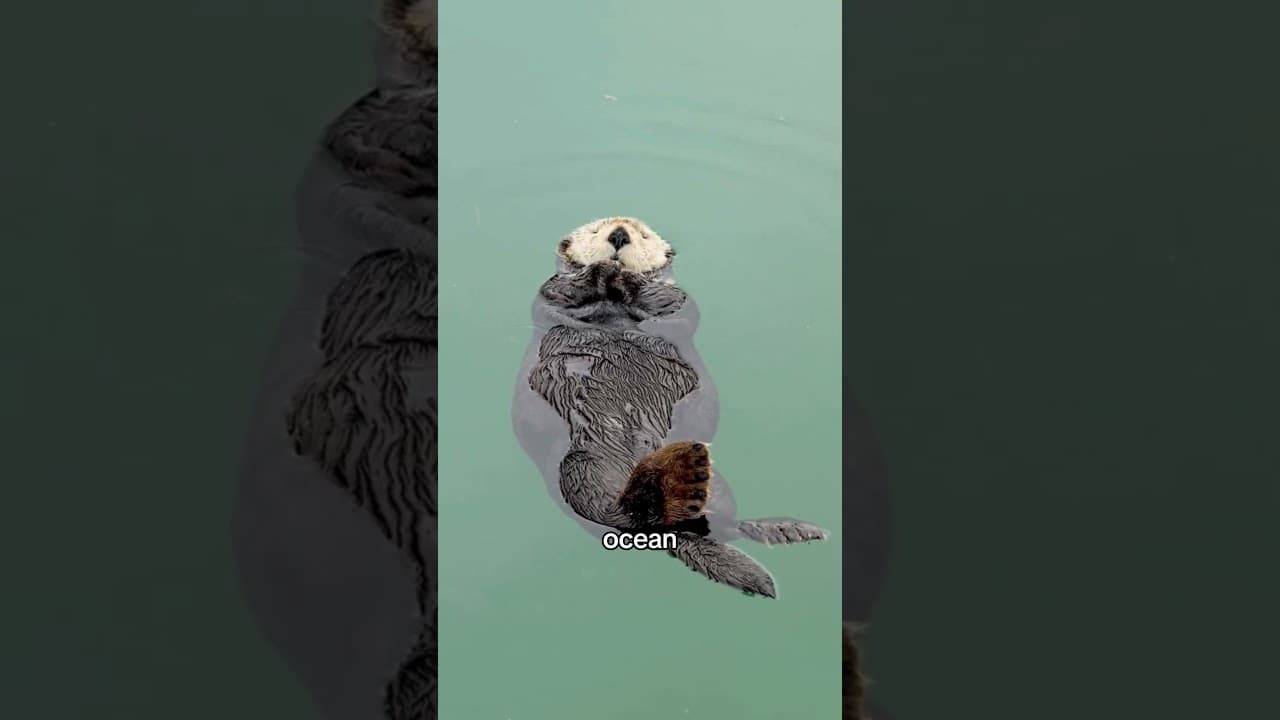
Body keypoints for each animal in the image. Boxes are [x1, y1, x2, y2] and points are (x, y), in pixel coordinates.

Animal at [512, 217, 829, 597]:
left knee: (722, 524)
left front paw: (630, 277)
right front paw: (601, 270)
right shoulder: (551, 296)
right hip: (579, 467)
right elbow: (559, 293)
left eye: (643, 235)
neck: (613, 301)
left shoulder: (676, 304)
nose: (619, 235)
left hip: (714, 489)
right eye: (595, 232)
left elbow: (673, 303)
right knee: (618, 512)